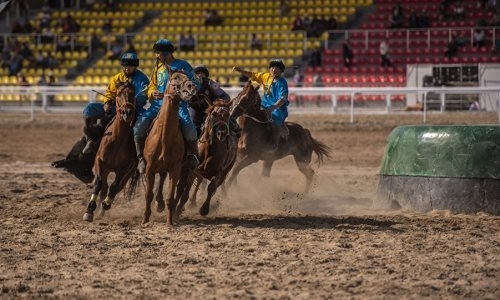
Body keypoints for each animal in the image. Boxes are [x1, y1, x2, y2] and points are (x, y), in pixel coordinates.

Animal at [83, 81, 139, 221]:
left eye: (133, 94)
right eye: (118, 94)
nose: (127, 112)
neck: (117, 139)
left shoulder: (124, 169)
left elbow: (114, 187)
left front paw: (105, 205)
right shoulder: (99, 162)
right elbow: (98, 183)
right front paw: (89, 210)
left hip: (127, 174)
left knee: (115, 188)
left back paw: (104, 208)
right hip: (106, 170)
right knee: (103, 187)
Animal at [141, 71, 197, 227]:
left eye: (188, 77)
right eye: (175, 78)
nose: (191, 86)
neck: (164, 137)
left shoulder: (175, 168)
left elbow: (170, 197)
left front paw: (170, 222)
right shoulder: (150, 168)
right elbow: (148, 194)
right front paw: (145, 220)